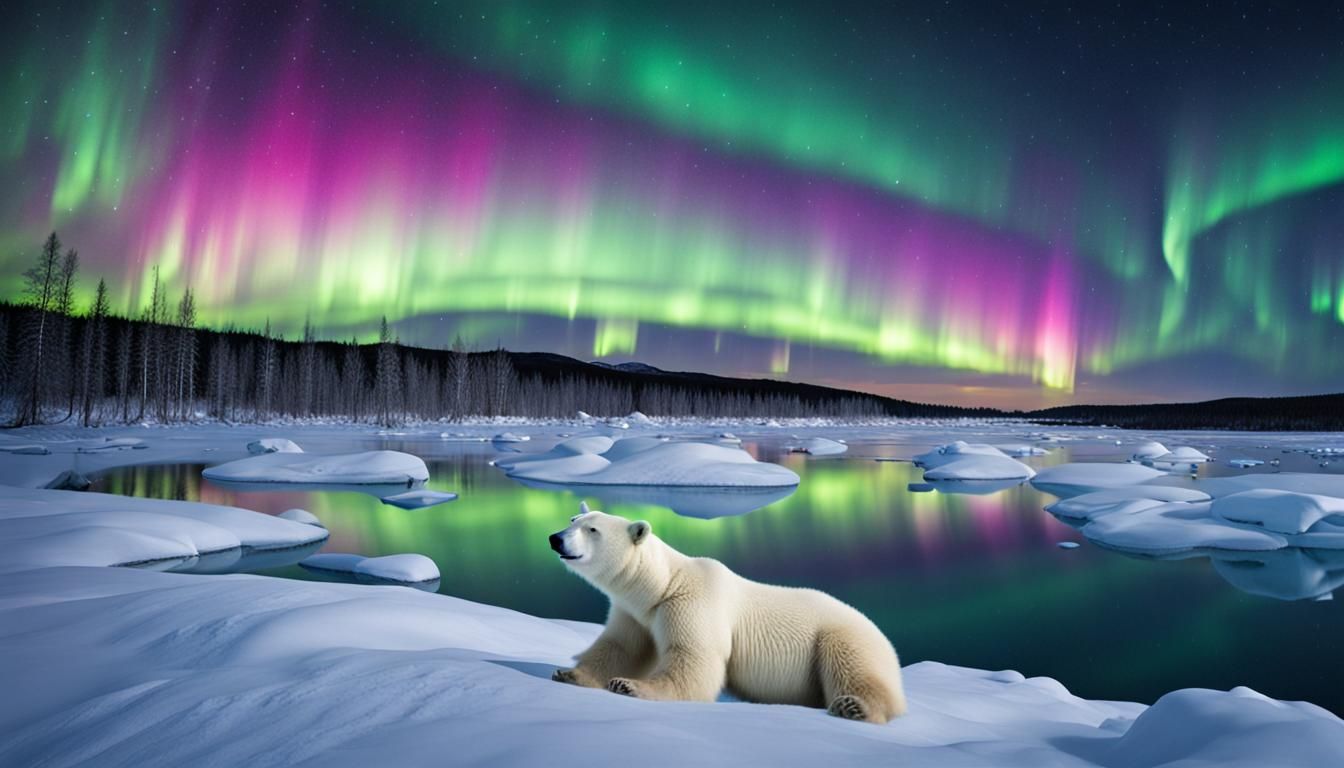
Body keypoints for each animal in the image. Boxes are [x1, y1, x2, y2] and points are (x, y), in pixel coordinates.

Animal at [548, 502, 907, 723]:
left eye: (593, 530)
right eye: (572, 521)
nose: (555, 538)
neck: (663, 584)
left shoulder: (691, 604)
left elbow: (694, 658)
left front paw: (630, 686)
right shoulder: (637, 614)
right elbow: (620, 647)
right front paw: (570, 674)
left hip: (841, 637)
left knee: (854, 669)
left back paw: (854, 706)